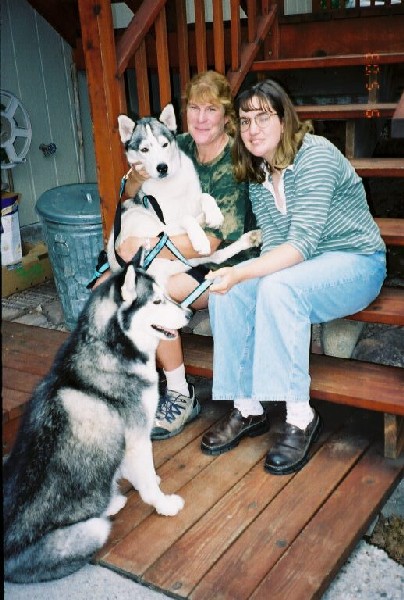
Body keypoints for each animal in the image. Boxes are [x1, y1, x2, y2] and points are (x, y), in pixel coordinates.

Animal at [3, 254, 191, 583]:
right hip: (94, 529)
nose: (190, 314)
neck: (113, 349)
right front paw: (163, 503)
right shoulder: (136, 436)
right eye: (157, 301)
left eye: (166, 294)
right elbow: (146, 479)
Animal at [107, 104, 261, 284]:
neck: (171, 183)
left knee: (215, 256)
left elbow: (205, 196)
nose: (162, 168)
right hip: (149, 226)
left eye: (165, 144)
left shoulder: (194, 199)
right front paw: (200, 238)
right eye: (144, 149)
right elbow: (186, 218)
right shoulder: (167, 221)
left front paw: (214, 214)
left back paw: (247, 237)